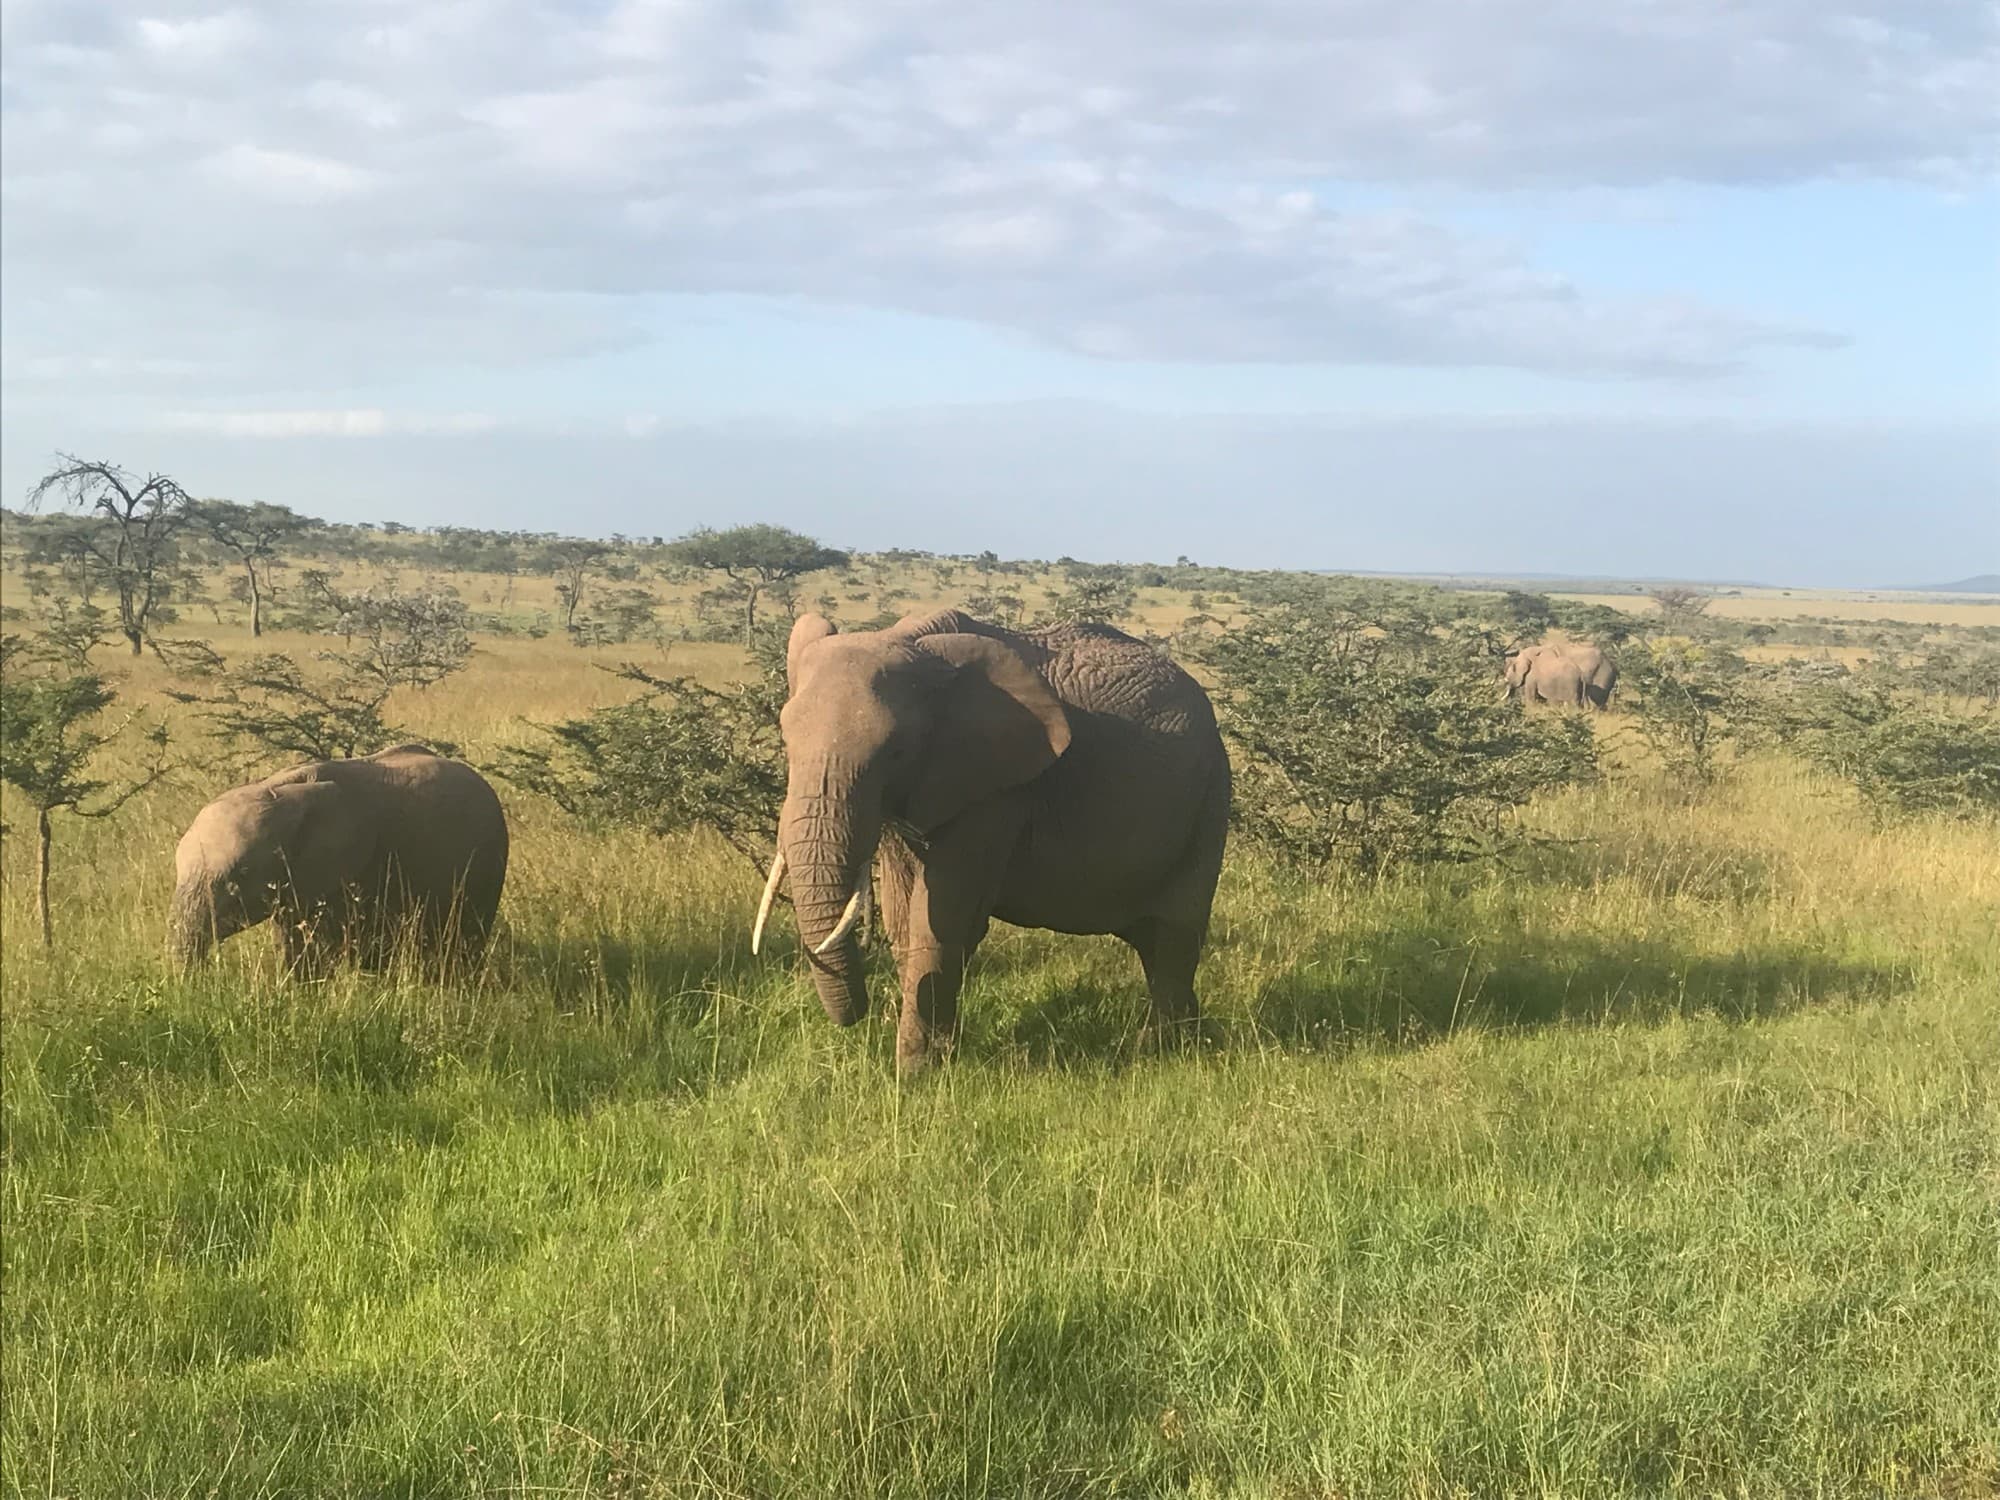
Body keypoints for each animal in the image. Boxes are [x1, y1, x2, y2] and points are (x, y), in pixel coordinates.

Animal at [752, 604, 1224, 1072]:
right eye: (786, 740)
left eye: (897, 750)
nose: (860, 1011)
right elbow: (905, 922)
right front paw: (938, 1057)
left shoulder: (995, 791)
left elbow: (940, 921)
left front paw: (915, 1073)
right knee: (1154, 943)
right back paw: (1191, 1036)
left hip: (1209, 798)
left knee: (1175, 935)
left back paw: (1164, 1048)